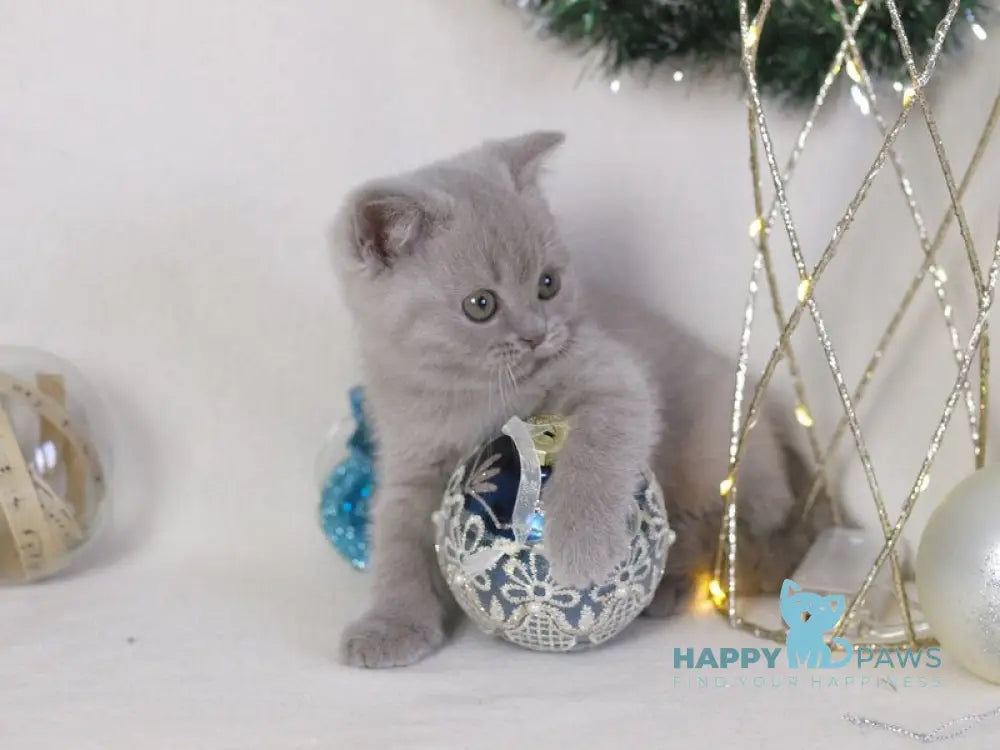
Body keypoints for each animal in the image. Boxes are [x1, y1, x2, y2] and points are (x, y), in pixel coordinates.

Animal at [329, 131, 834, 668]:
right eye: (480, 305)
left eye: (547, 284)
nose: (536, 335)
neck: (467, 395)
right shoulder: (410, 454)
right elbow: (396, 535)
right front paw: (390, 624)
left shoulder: (613, 374)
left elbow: (598, 449)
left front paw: (582, 545)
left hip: (715, 447)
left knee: (728, 530)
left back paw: (671, 578)